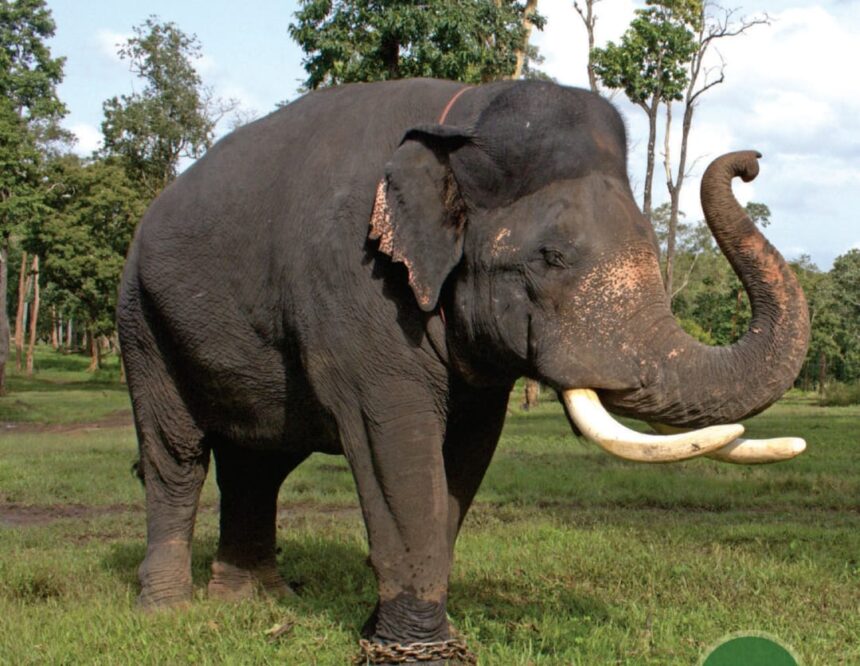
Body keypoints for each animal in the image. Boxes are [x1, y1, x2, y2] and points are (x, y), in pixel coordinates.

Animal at [117, 78, 809, 662]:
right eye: (551, 257)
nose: (750, 161)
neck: (460, 119)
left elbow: (466, 454)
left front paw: (396, 633)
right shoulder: (355, 290)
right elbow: (394, 441)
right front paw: (418, 652)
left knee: (256, 463)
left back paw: (256, 599)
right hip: (141, 320)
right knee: (176, 455)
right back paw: (167, 612)